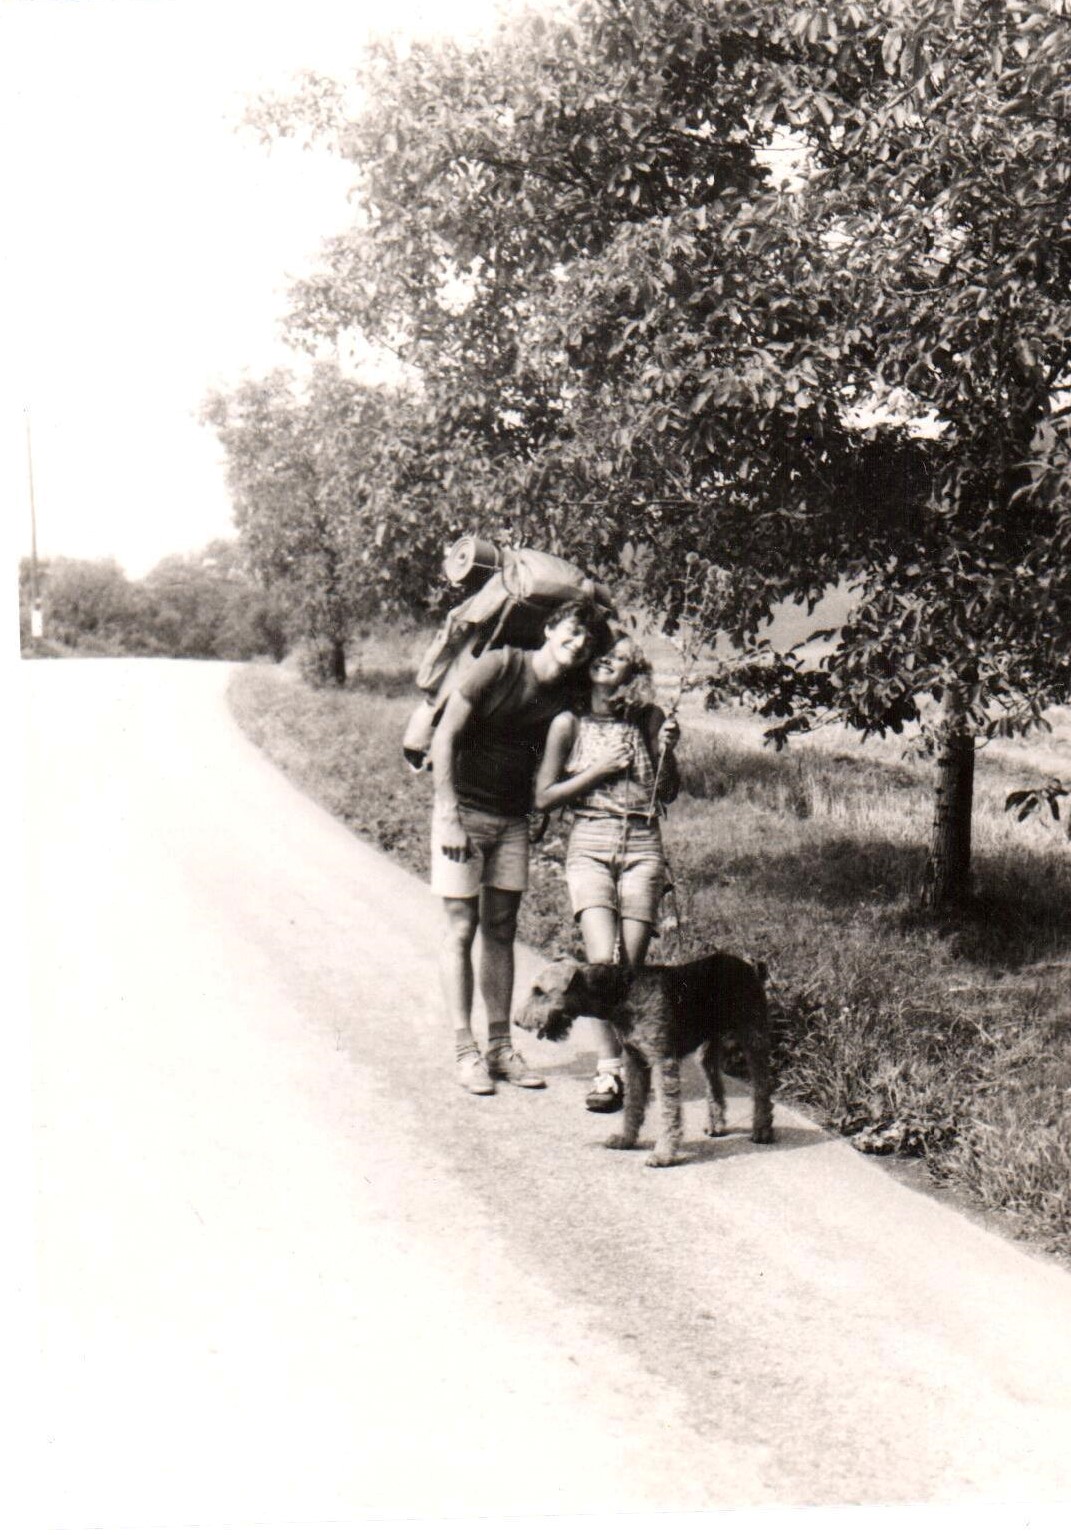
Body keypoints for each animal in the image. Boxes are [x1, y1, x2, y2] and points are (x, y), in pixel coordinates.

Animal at [514, 953, 774, 1167]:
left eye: (539, 991)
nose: (517, 1021)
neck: (619, 992)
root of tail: (749, 965)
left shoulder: (662, 1061)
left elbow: (668, 1112)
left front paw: (663, 1155)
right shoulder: (635, 1059)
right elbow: (633, 1105)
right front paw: (625, 1140)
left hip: (753, 1038)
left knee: (762, 1087)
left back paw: (762, 1131)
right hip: (707, 1048)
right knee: (715, 1085)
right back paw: (716, 1125)